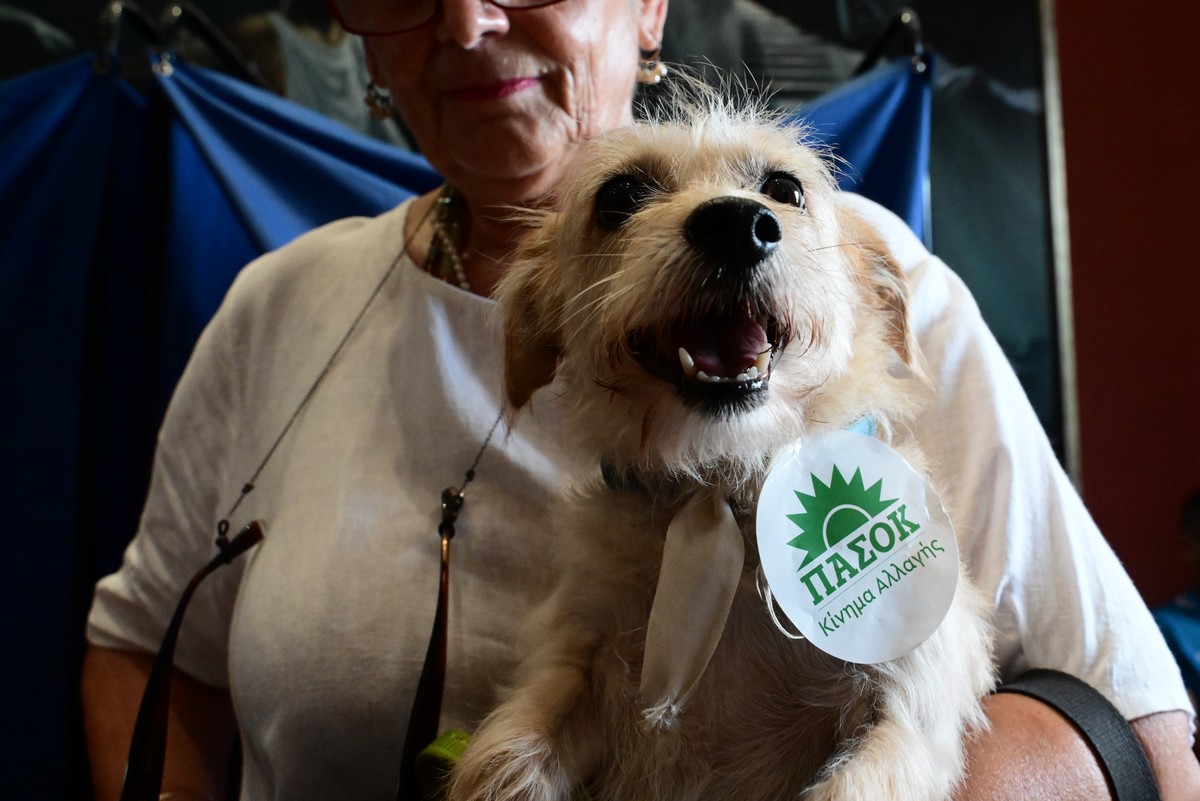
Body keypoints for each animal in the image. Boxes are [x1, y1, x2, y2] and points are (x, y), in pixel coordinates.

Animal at [448, 92, 993, 801]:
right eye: (620, 195)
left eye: (785, 188)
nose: (737, 224)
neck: (726, 494)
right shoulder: (574, 660)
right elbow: (506, 758)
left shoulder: (906, 702)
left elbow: (860, 780)